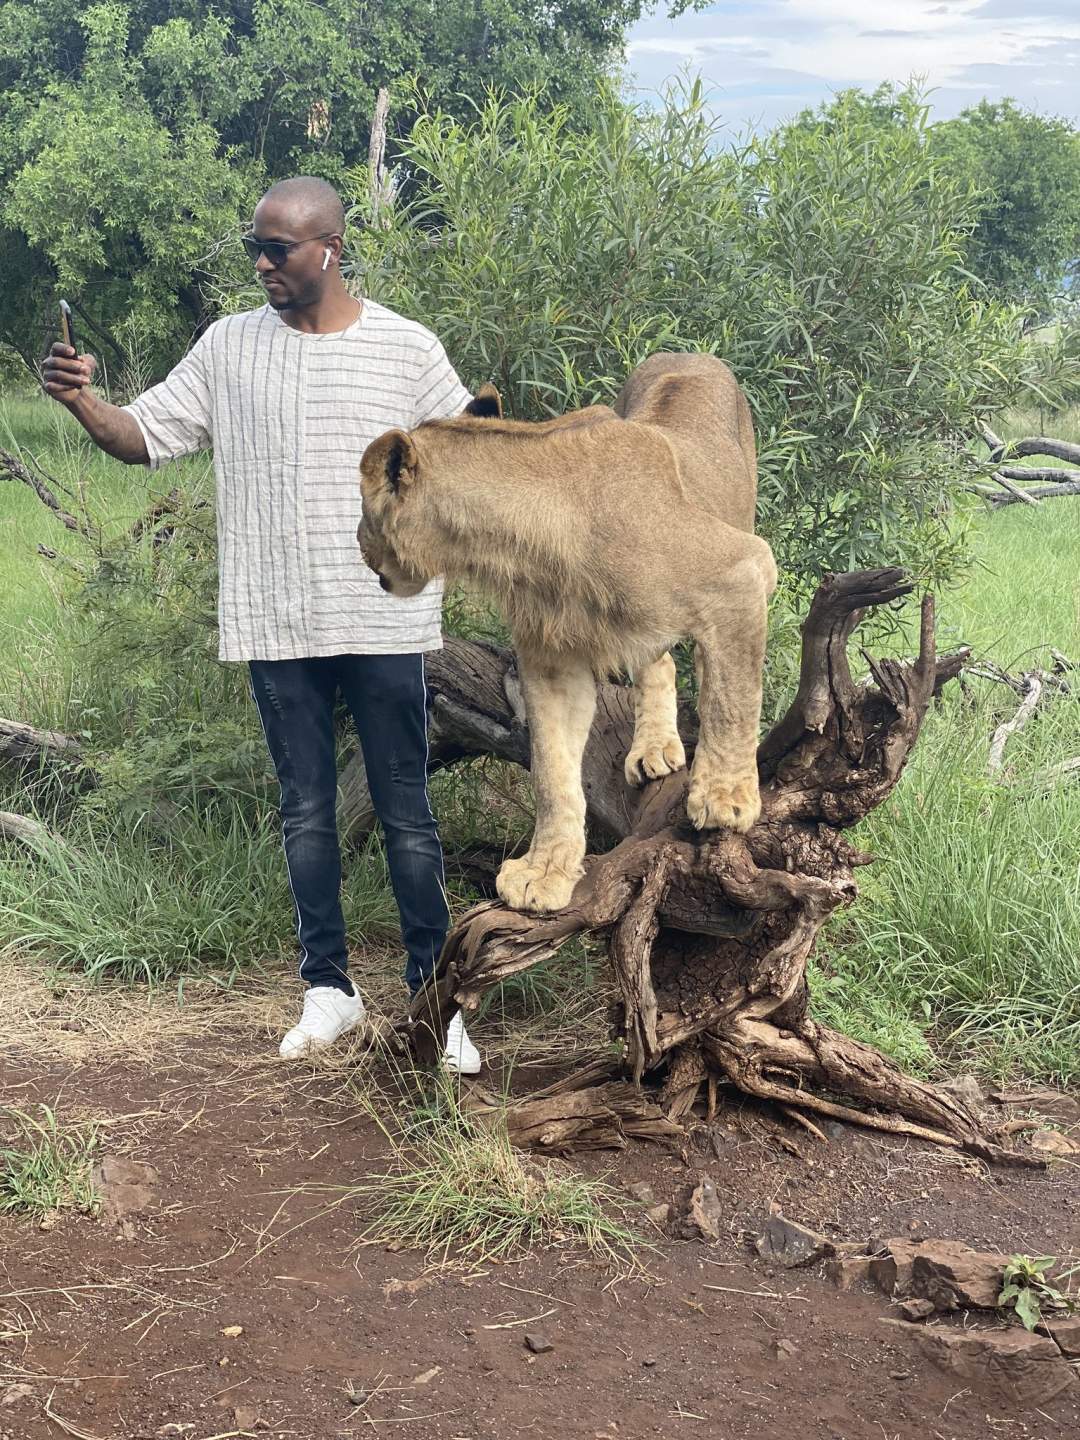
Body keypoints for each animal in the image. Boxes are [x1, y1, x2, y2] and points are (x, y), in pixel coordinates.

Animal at [360, 351, 771, 910]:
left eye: (363, 509)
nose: (360, 547)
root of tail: (691, 352)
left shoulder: (742, 571)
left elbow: (733, 700)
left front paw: (726, 797)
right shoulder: (552, 659)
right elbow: (553, 773)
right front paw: (544, 871)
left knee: (714, 667)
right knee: (660, 659)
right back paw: (652, 748)